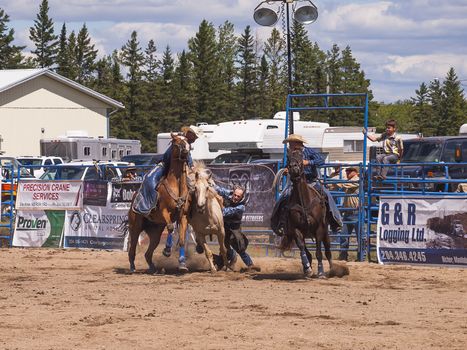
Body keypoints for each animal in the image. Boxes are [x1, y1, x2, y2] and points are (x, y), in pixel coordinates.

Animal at [127, 134, 191, 274]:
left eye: (187, 142)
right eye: (176, 142)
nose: (186, 152)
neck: (176, 185)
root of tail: (134, 199)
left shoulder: (182, 216)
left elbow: (182, 239)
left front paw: (182, 263)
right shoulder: (164, 211)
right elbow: (171, 227)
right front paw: (167, 250)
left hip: (155, 232)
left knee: (148, 253)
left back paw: (153, 268)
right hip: (135, 227)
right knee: (132, 248)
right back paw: (132, 267)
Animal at [276, 149, 334, 278]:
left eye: (301, 156)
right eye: (288, 157)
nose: (293, 167)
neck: (304, 201)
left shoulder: (319, 229)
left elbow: (319, 252)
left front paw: (321, 272)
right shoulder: (296, 229)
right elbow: (302, 248)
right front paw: (308, 269)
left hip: (326, 233)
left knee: (328, 251)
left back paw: (334, 270)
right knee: (309, 253)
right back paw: (307, 270)